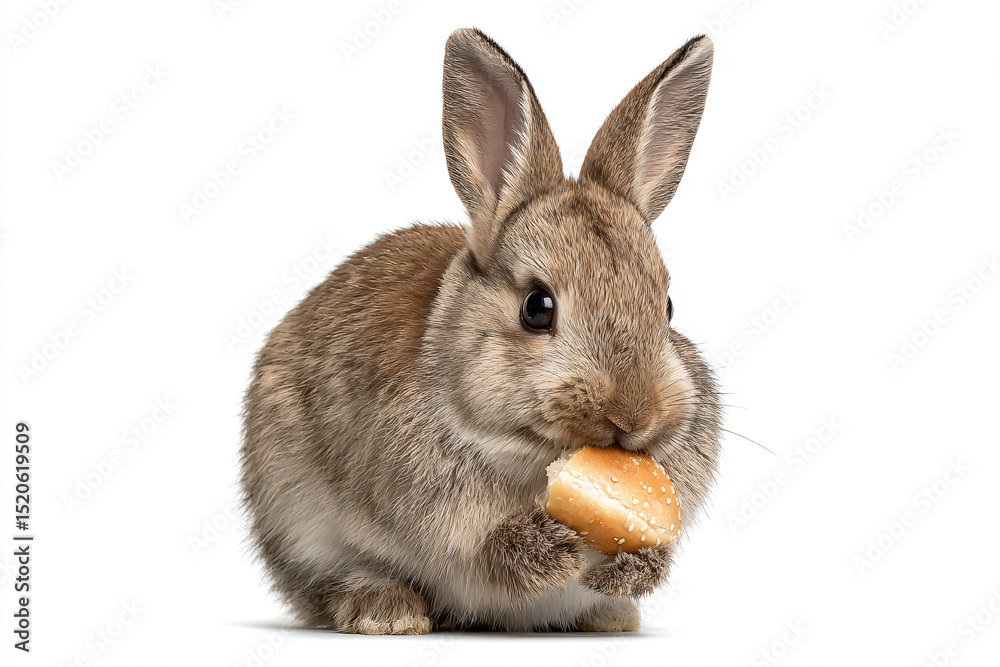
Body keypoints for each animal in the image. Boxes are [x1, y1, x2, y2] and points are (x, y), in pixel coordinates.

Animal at [240, 27, 722, 634]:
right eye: (537, 307)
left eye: (668, 307)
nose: (633, 419)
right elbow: (484, 553)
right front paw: (550, 545)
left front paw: (634, 567)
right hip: (294, 516)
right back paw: (386, 611)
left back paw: (613, 617)